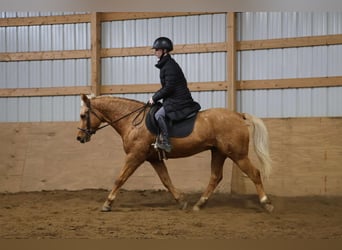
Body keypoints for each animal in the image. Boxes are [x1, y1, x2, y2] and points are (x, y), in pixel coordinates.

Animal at [76, 94, 274, 212]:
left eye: (83, 115)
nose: (79, 138)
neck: (132, 121)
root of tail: (238, 115)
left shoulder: (135, 156)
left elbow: (120, 178)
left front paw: (107, 203)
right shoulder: (154, 159)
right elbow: (166, 180)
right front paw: (181, 201)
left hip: (238, 155)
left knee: (254, 173)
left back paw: (266, 203)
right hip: (219, 153)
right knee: (215, 177)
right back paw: (199, 204)